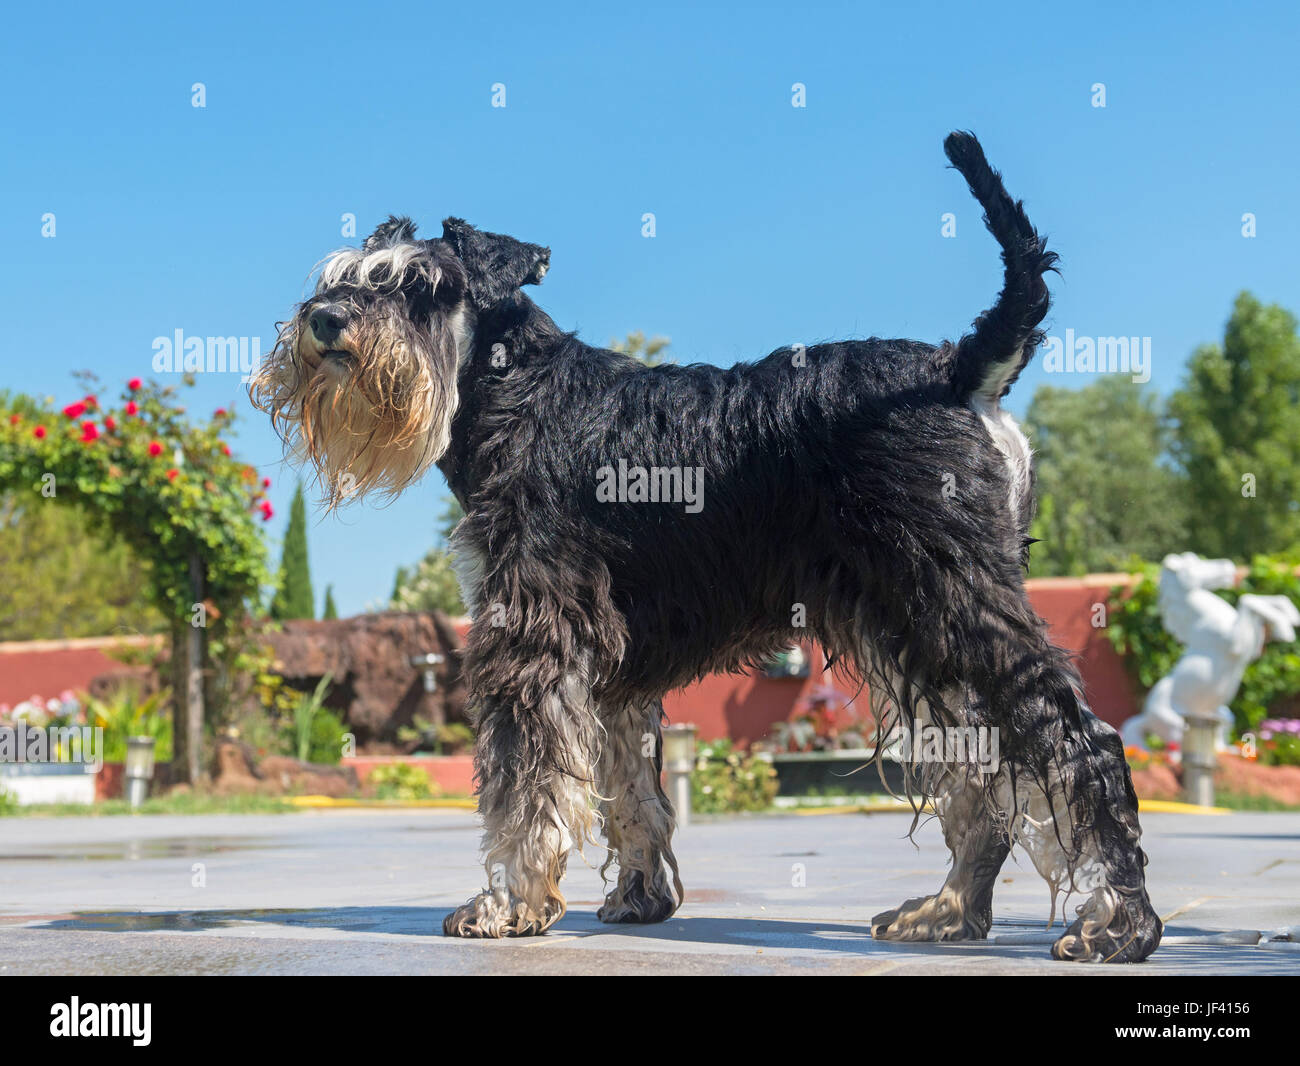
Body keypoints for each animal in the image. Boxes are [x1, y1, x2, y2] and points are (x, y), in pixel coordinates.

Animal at [248, 129, 1164, 961]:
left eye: (423, 287)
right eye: (337, 278)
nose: (323, 321)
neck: (520, 392)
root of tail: (961, 367)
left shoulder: (532, 637)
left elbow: (525, 788)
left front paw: (506, 904)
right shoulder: (612, 666)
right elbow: (630, 786)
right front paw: (640, 896)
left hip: (959, 608)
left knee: (1080, 744)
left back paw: (1117, 923)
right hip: (920, 634)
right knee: (981, 775)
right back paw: (946, 911)